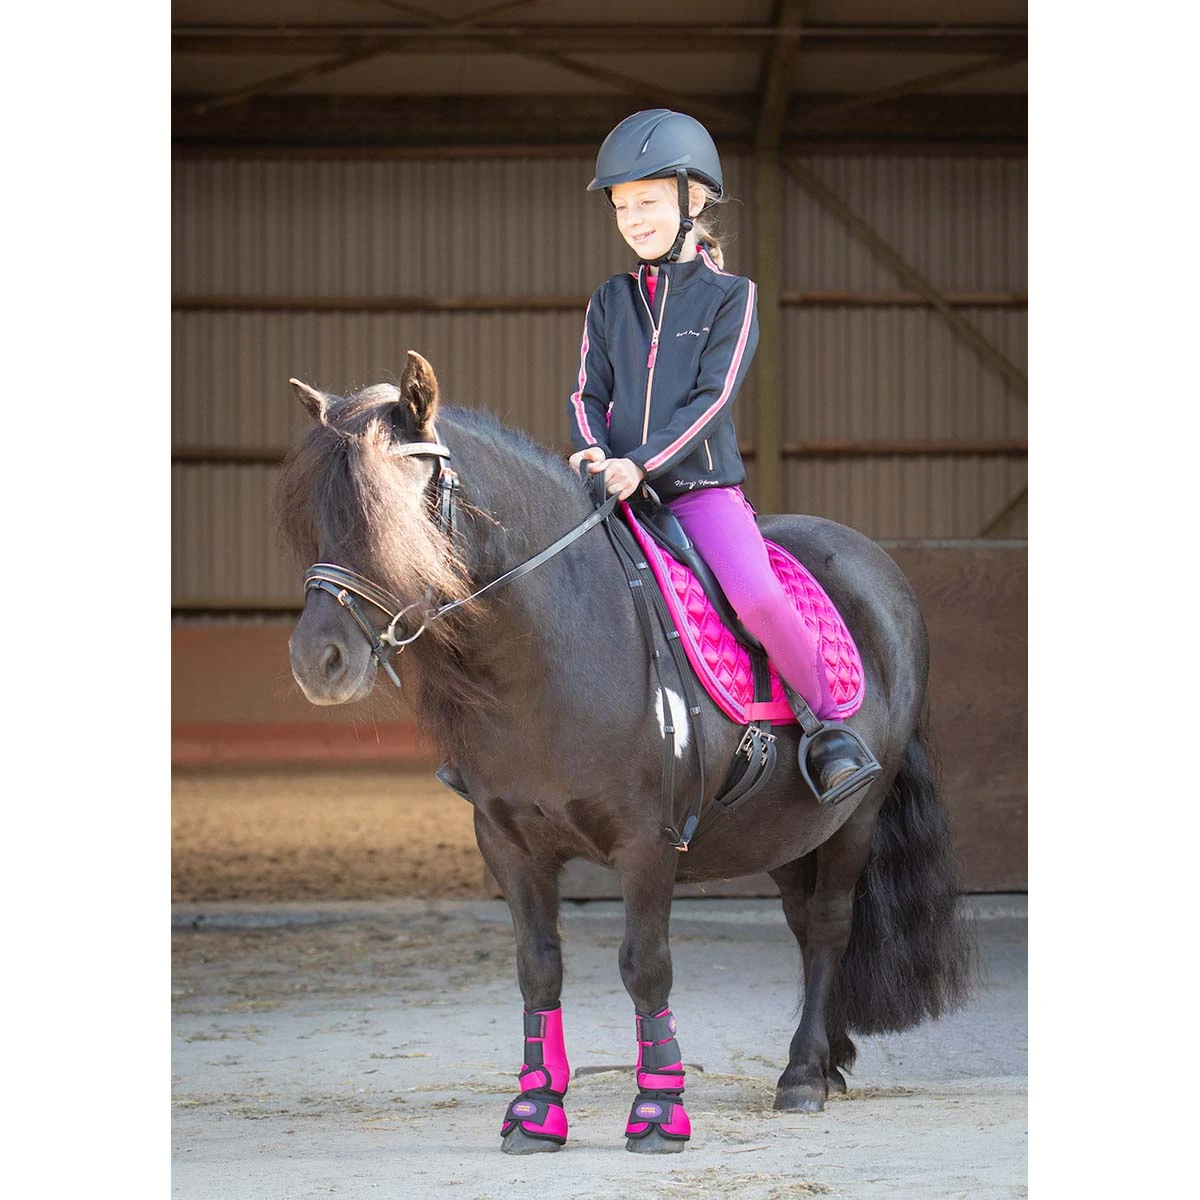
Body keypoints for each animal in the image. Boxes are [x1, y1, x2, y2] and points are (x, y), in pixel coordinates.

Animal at [276, 350, 973, 1156]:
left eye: (387, 514)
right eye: (317, 519)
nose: (317, 661)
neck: (553, 647)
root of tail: (876, 568)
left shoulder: (647, 841)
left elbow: (646, 968)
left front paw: (658, 1111)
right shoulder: (507, 841)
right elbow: (538, 969)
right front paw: (535, 1110)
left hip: (855, 815)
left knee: (830, 924)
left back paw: (802, 1075)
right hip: (787, 828)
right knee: (804, 927)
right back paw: (826, 1061)